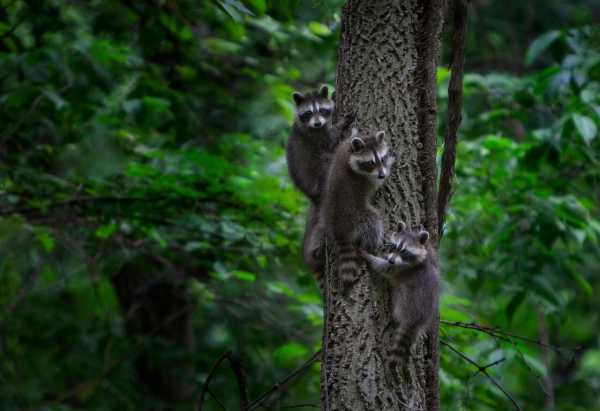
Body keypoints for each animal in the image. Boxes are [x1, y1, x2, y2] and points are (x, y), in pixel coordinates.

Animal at [308, 129, 396, 292]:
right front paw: (390, 167)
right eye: (370, 163)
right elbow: (377, 185)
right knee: (373, 223)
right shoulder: (366, 180)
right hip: (359, 216)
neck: (350, 155)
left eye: (382, 158)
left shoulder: (342, 147)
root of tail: (339, 230)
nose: (382, 174)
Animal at [360, 224, 440, 372]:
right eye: (394, 246)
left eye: (404, 252)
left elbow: (384, 268)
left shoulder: (402, 269)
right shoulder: (430, 256)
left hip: (406, 301)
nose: (391, 260)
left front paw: (368, 256)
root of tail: (416, 318)